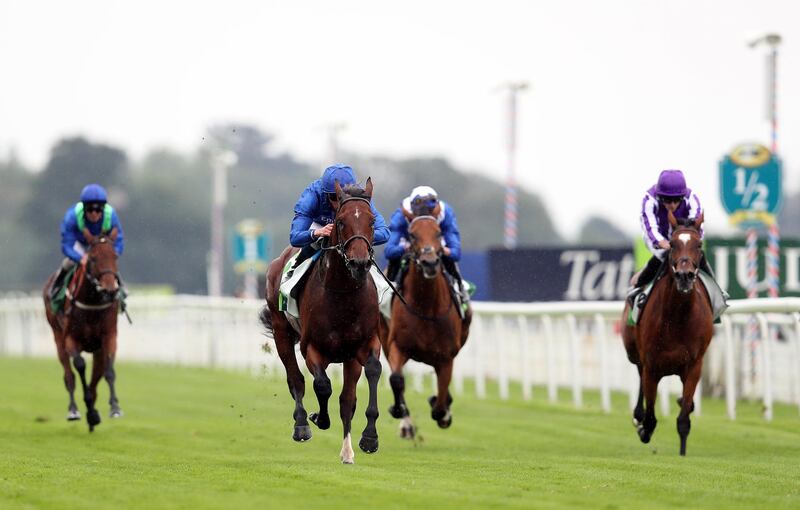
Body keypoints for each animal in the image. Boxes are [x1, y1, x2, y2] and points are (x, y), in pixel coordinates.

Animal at [43, 229, 122, 432]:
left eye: (115, 256)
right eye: (93, 258)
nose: (110, 290)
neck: (92, 302)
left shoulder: (109, 337)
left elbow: (109, 371)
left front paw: (114, 408)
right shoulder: (70, 339)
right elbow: (79, 366)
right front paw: (87, 410)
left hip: (97, 349)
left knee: (96, 377)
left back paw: (92, 414)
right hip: (57, 337)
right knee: (69, 375)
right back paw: (74, 410)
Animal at [262, 179, 384, 466]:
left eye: (373, 220)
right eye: (339, 221)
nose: (360, 263)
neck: (342, 294)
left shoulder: (365, 344)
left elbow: (371, 373)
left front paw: (369, 438)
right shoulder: (312, 348)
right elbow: (322, 385)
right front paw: (318, 418)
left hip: (348, 357)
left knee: (347, 399)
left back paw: (347, 451)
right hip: (282, 332)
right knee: (296, 379)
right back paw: (301, 425)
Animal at [380, 207, 468, 438]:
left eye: (438, 233)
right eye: (412, 235)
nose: (429, 263)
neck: (427, 307)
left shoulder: (446, 357)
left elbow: (440, 404)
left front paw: (443, 410)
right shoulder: (397, 346)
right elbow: (396, 380)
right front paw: (398, 410)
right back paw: (406, 424)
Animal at [624, 211, 712, 454]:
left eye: (699, 244)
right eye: (672, 244)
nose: (684, 275)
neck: (678, 317)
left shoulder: (694, 366)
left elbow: (683, 421)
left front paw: (682, 453)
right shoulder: (652, 364)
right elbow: (651, 418)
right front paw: (643, 427)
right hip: (634, 353)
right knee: (639, 374)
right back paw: (638, 415)